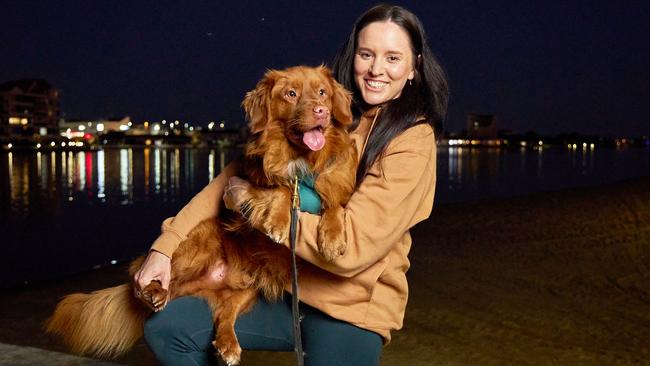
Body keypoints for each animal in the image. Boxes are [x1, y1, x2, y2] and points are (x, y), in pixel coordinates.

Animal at [45, 66, 356, 366]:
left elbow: (336, 205)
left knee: (222, 314)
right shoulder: (251, 183)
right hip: (199, 246)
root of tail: (213, 279)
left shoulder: (333, 185)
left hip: (247, 290)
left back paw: (227, 344)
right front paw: (279, 221)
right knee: (151, 278)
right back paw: (152, 291)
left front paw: (333, 237)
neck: (301, 161)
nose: (322, 111)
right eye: (291, 93)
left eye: (323, 92)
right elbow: (281, 189)